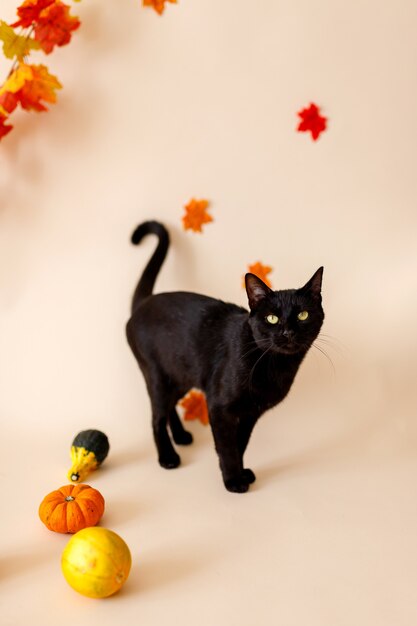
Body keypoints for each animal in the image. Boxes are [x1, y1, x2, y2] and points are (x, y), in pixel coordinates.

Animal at [125, 222, 324, 490]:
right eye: (272, 318)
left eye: (303, 315)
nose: (288, 332)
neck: (274, 365)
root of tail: (144, 302)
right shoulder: (219, 407)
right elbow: (227, 446)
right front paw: (233, 481)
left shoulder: (251, 413)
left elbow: (240, 444)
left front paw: (240, 473)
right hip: (157, 376)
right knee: (156, 416)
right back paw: (168, 457)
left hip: (181, 377)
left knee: (168, 407)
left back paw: (181, 436)